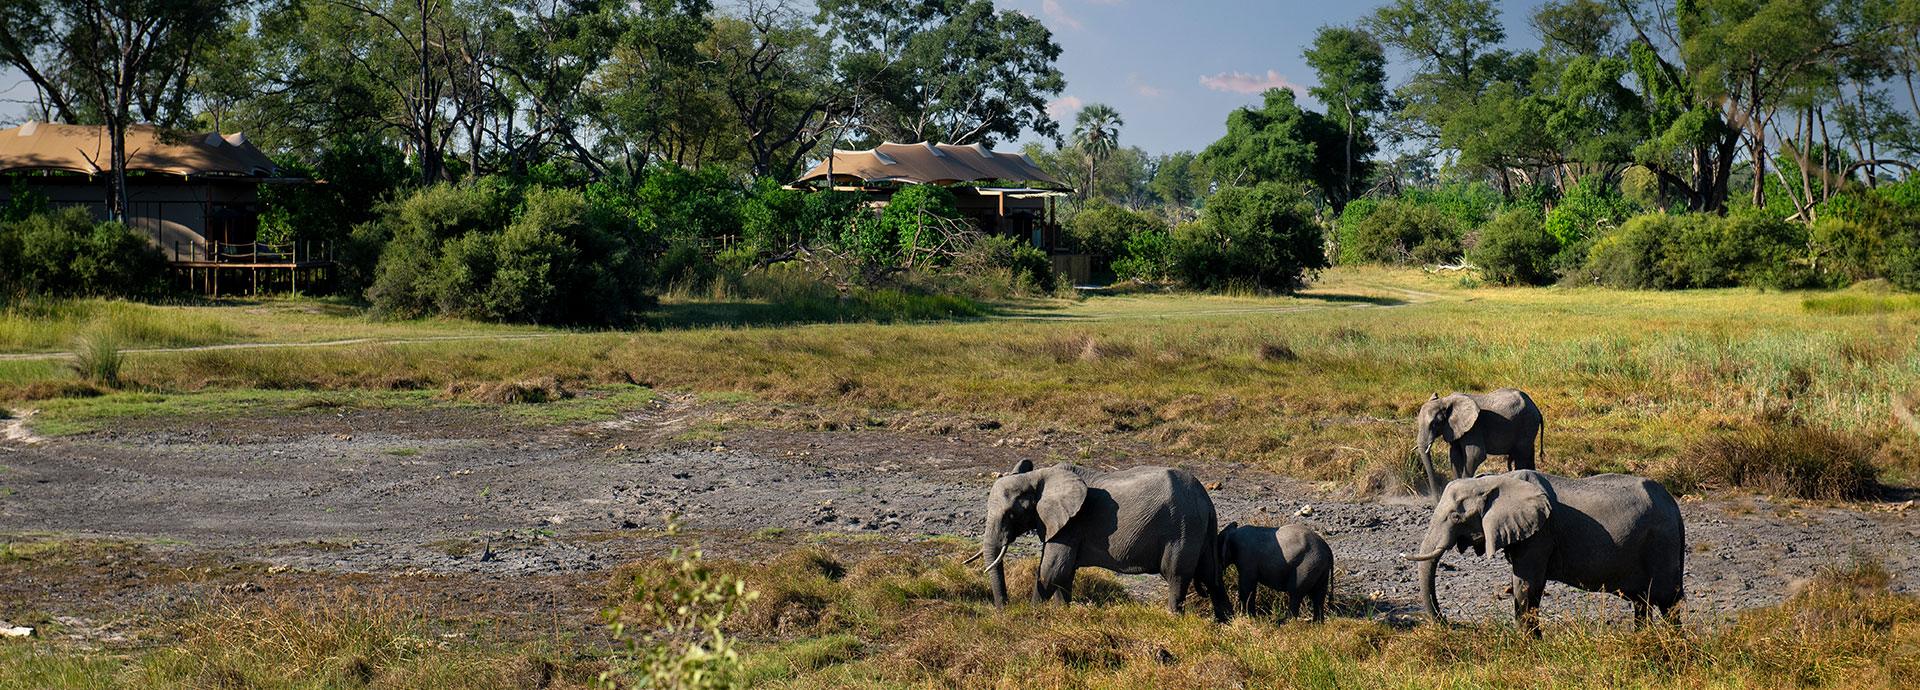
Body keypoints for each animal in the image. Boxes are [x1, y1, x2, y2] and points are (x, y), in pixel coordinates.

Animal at [978, 459, 1230, 621]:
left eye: (1011, 514)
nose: (1003, 611)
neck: (1037, 477)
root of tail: (1205, 500)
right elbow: (1063, 575)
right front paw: (1062, 616)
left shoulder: (1071, 524)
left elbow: (1051, 572)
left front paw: (1029, 618)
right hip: (1201, 530)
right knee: (1212, 577)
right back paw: (1226, 623)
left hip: (1183, 528)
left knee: (1177, 576)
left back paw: (1174, 620)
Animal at [1400, 470, 1686, 636]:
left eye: (1455, 516)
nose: (1454, 625)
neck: (1494, 480)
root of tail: (1674, 507)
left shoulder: (1540, 535)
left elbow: (1526, 586)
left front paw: (1527, 645)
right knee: (1642, 603)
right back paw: (1643, 640)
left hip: (1661, 542)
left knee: (1668, 601)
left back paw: (1672, 644)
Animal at [1415, 388, 1544, 492]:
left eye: (1435, 424)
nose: (1436, 500)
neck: (1446, 401)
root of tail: (1536, 408)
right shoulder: (1453, 429)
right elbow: (1454, 456)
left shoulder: (1474, 427)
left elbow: (1476, 455)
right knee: (1529, 456)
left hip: (1527, 424)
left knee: (1521, 456)